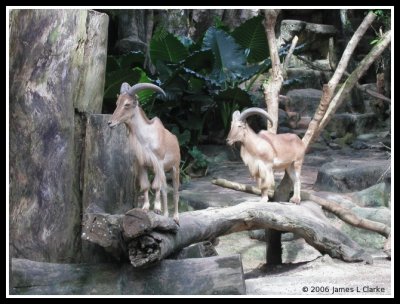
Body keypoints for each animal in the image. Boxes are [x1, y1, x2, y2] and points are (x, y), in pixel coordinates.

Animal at [107, 82, 180, 223]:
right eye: (117, 103)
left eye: (127, 104)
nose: (110, 123)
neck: (146, 138)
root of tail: (175, 139)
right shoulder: (142, 165)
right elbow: (146, 186)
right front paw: (146, 208)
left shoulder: (158, 163)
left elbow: (156, 186)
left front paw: (156, 208)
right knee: (165, 190)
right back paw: (165, 215)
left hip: (175, 168)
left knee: (175, 192)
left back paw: (175, 217)